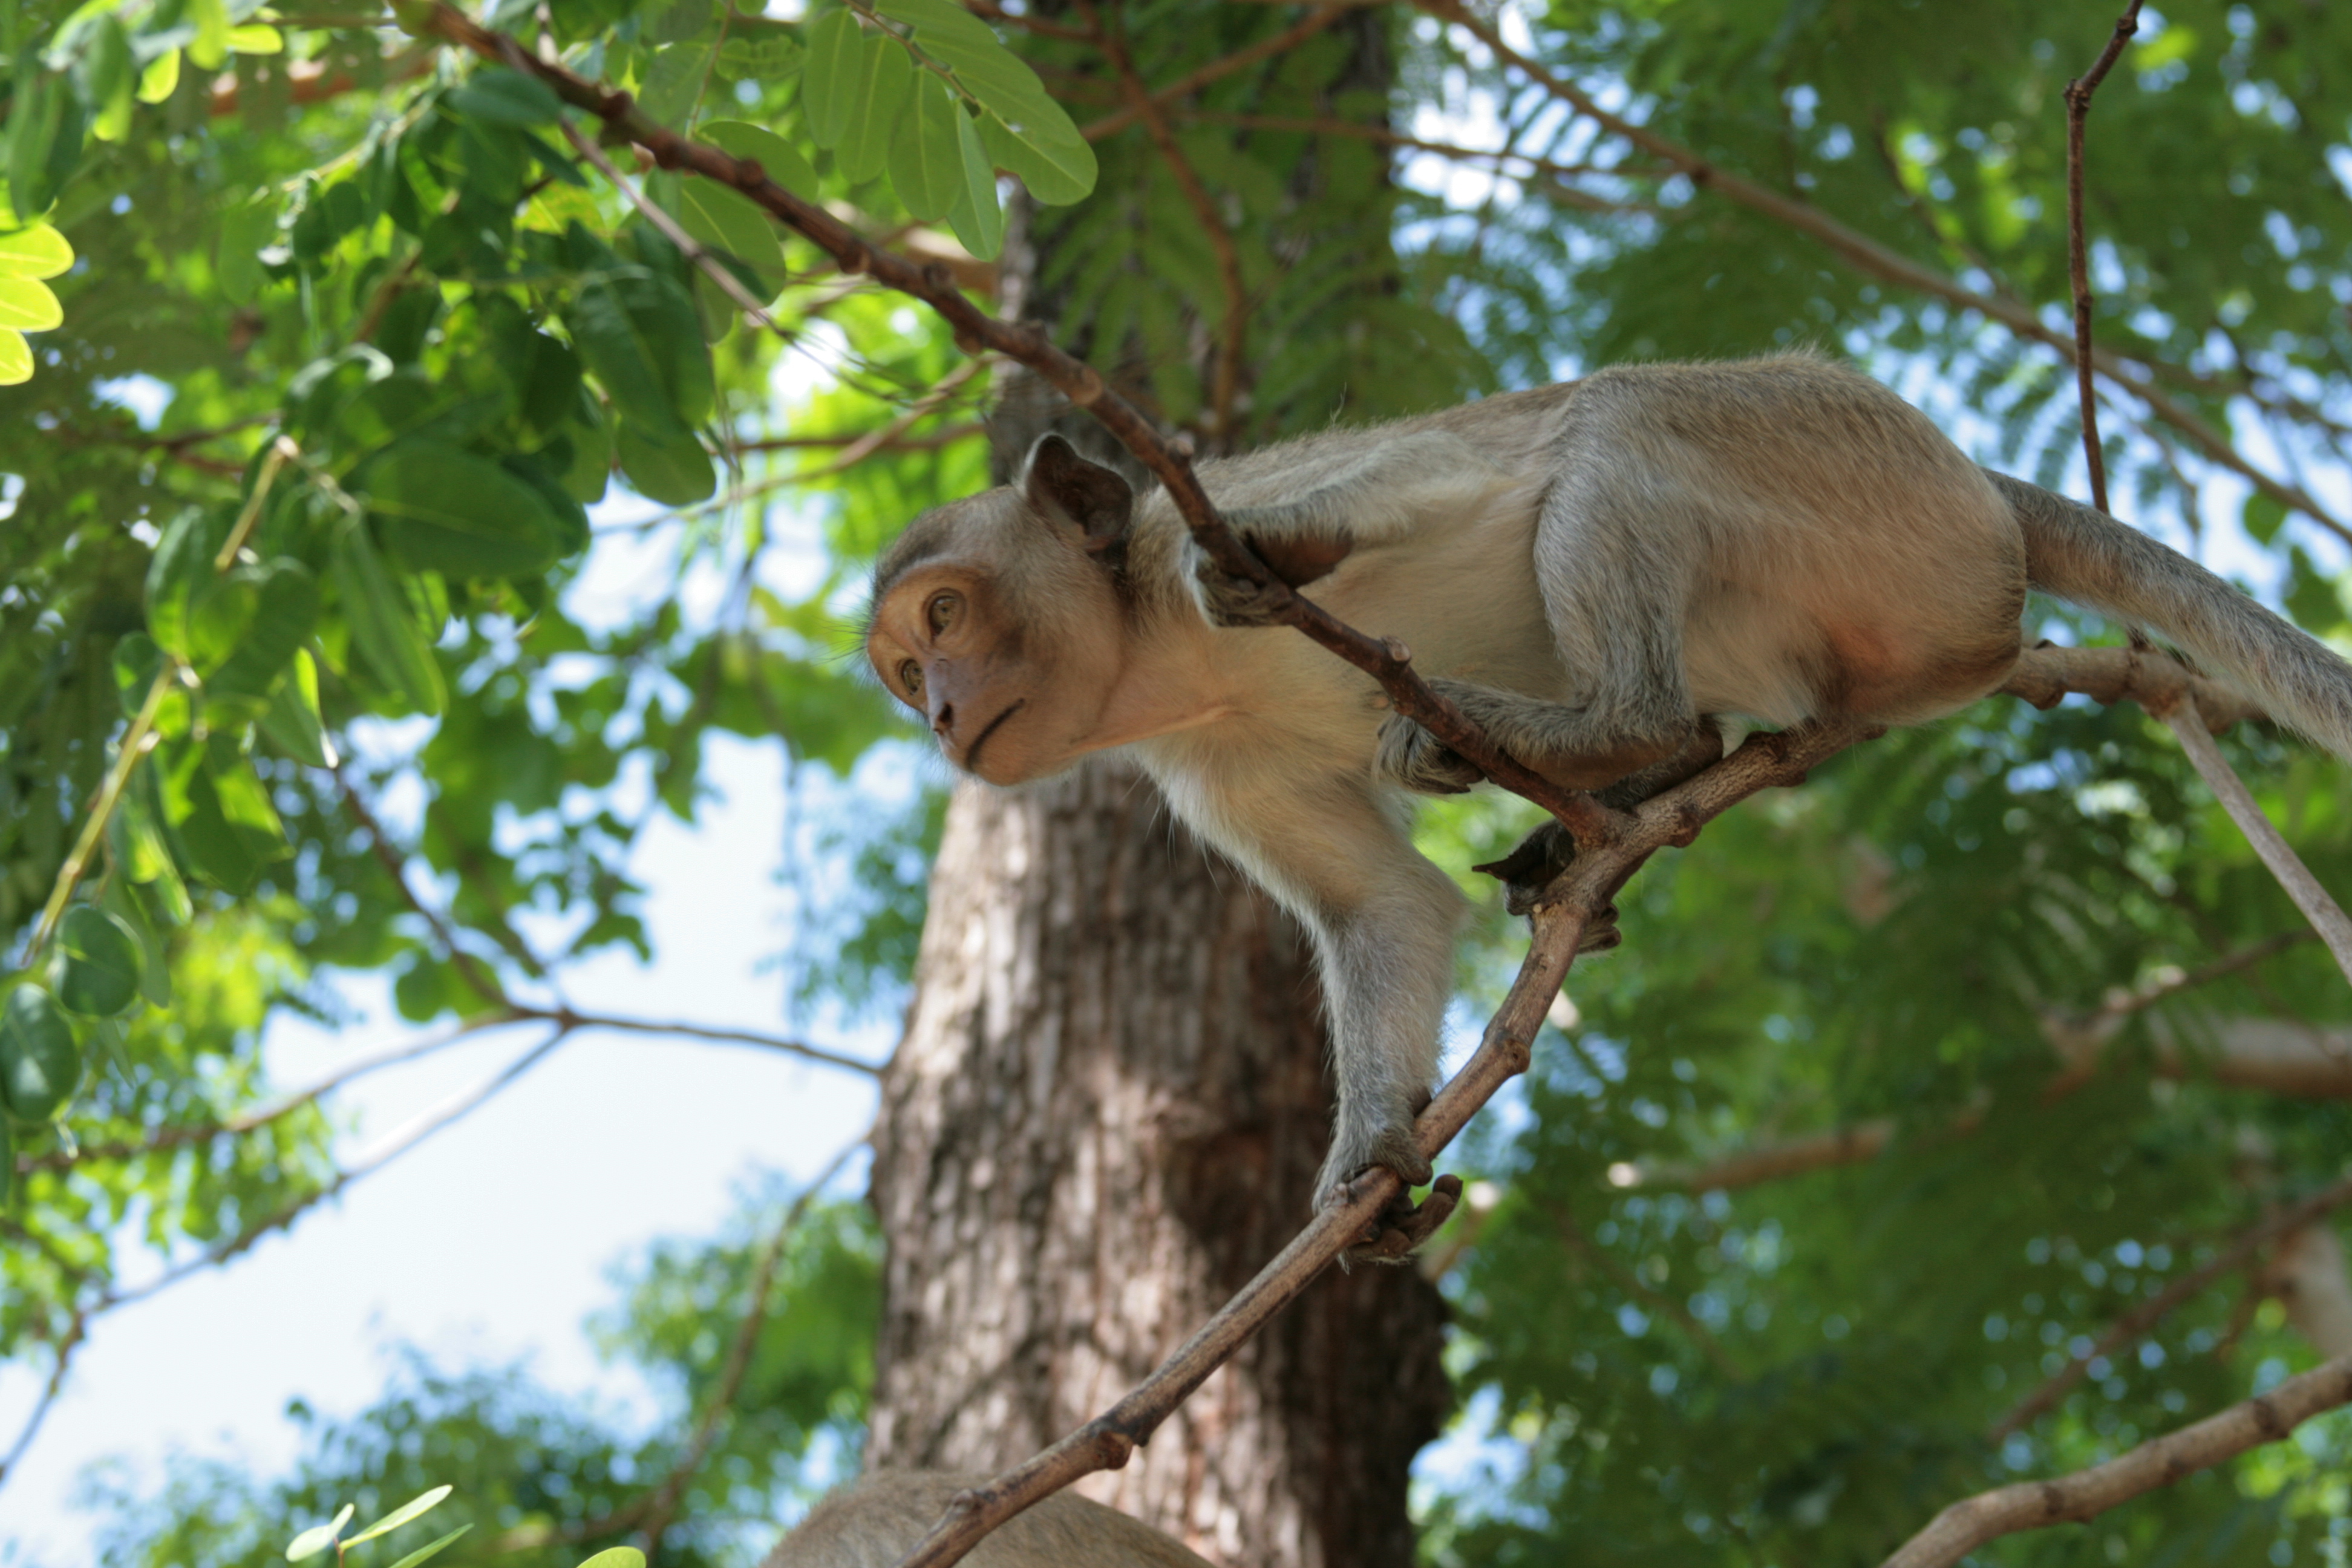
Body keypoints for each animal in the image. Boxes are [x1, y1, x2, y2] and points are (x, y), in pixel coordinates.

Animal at [870, 354, 2352, 1222]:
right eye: (901, 665)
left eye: (947, 613)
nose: (938, 715)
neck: (1158, 652)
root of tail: (1984, 489)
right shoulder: (1208, 762)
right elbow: (1384, 909)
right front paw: (1370, 1159)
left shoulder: (1188, 523)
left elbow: (1433, 474)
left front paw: (1286, 541)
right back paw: (1650, 766)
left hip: (1844, 456)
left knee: (1616, 417)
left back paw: (1600, 727)